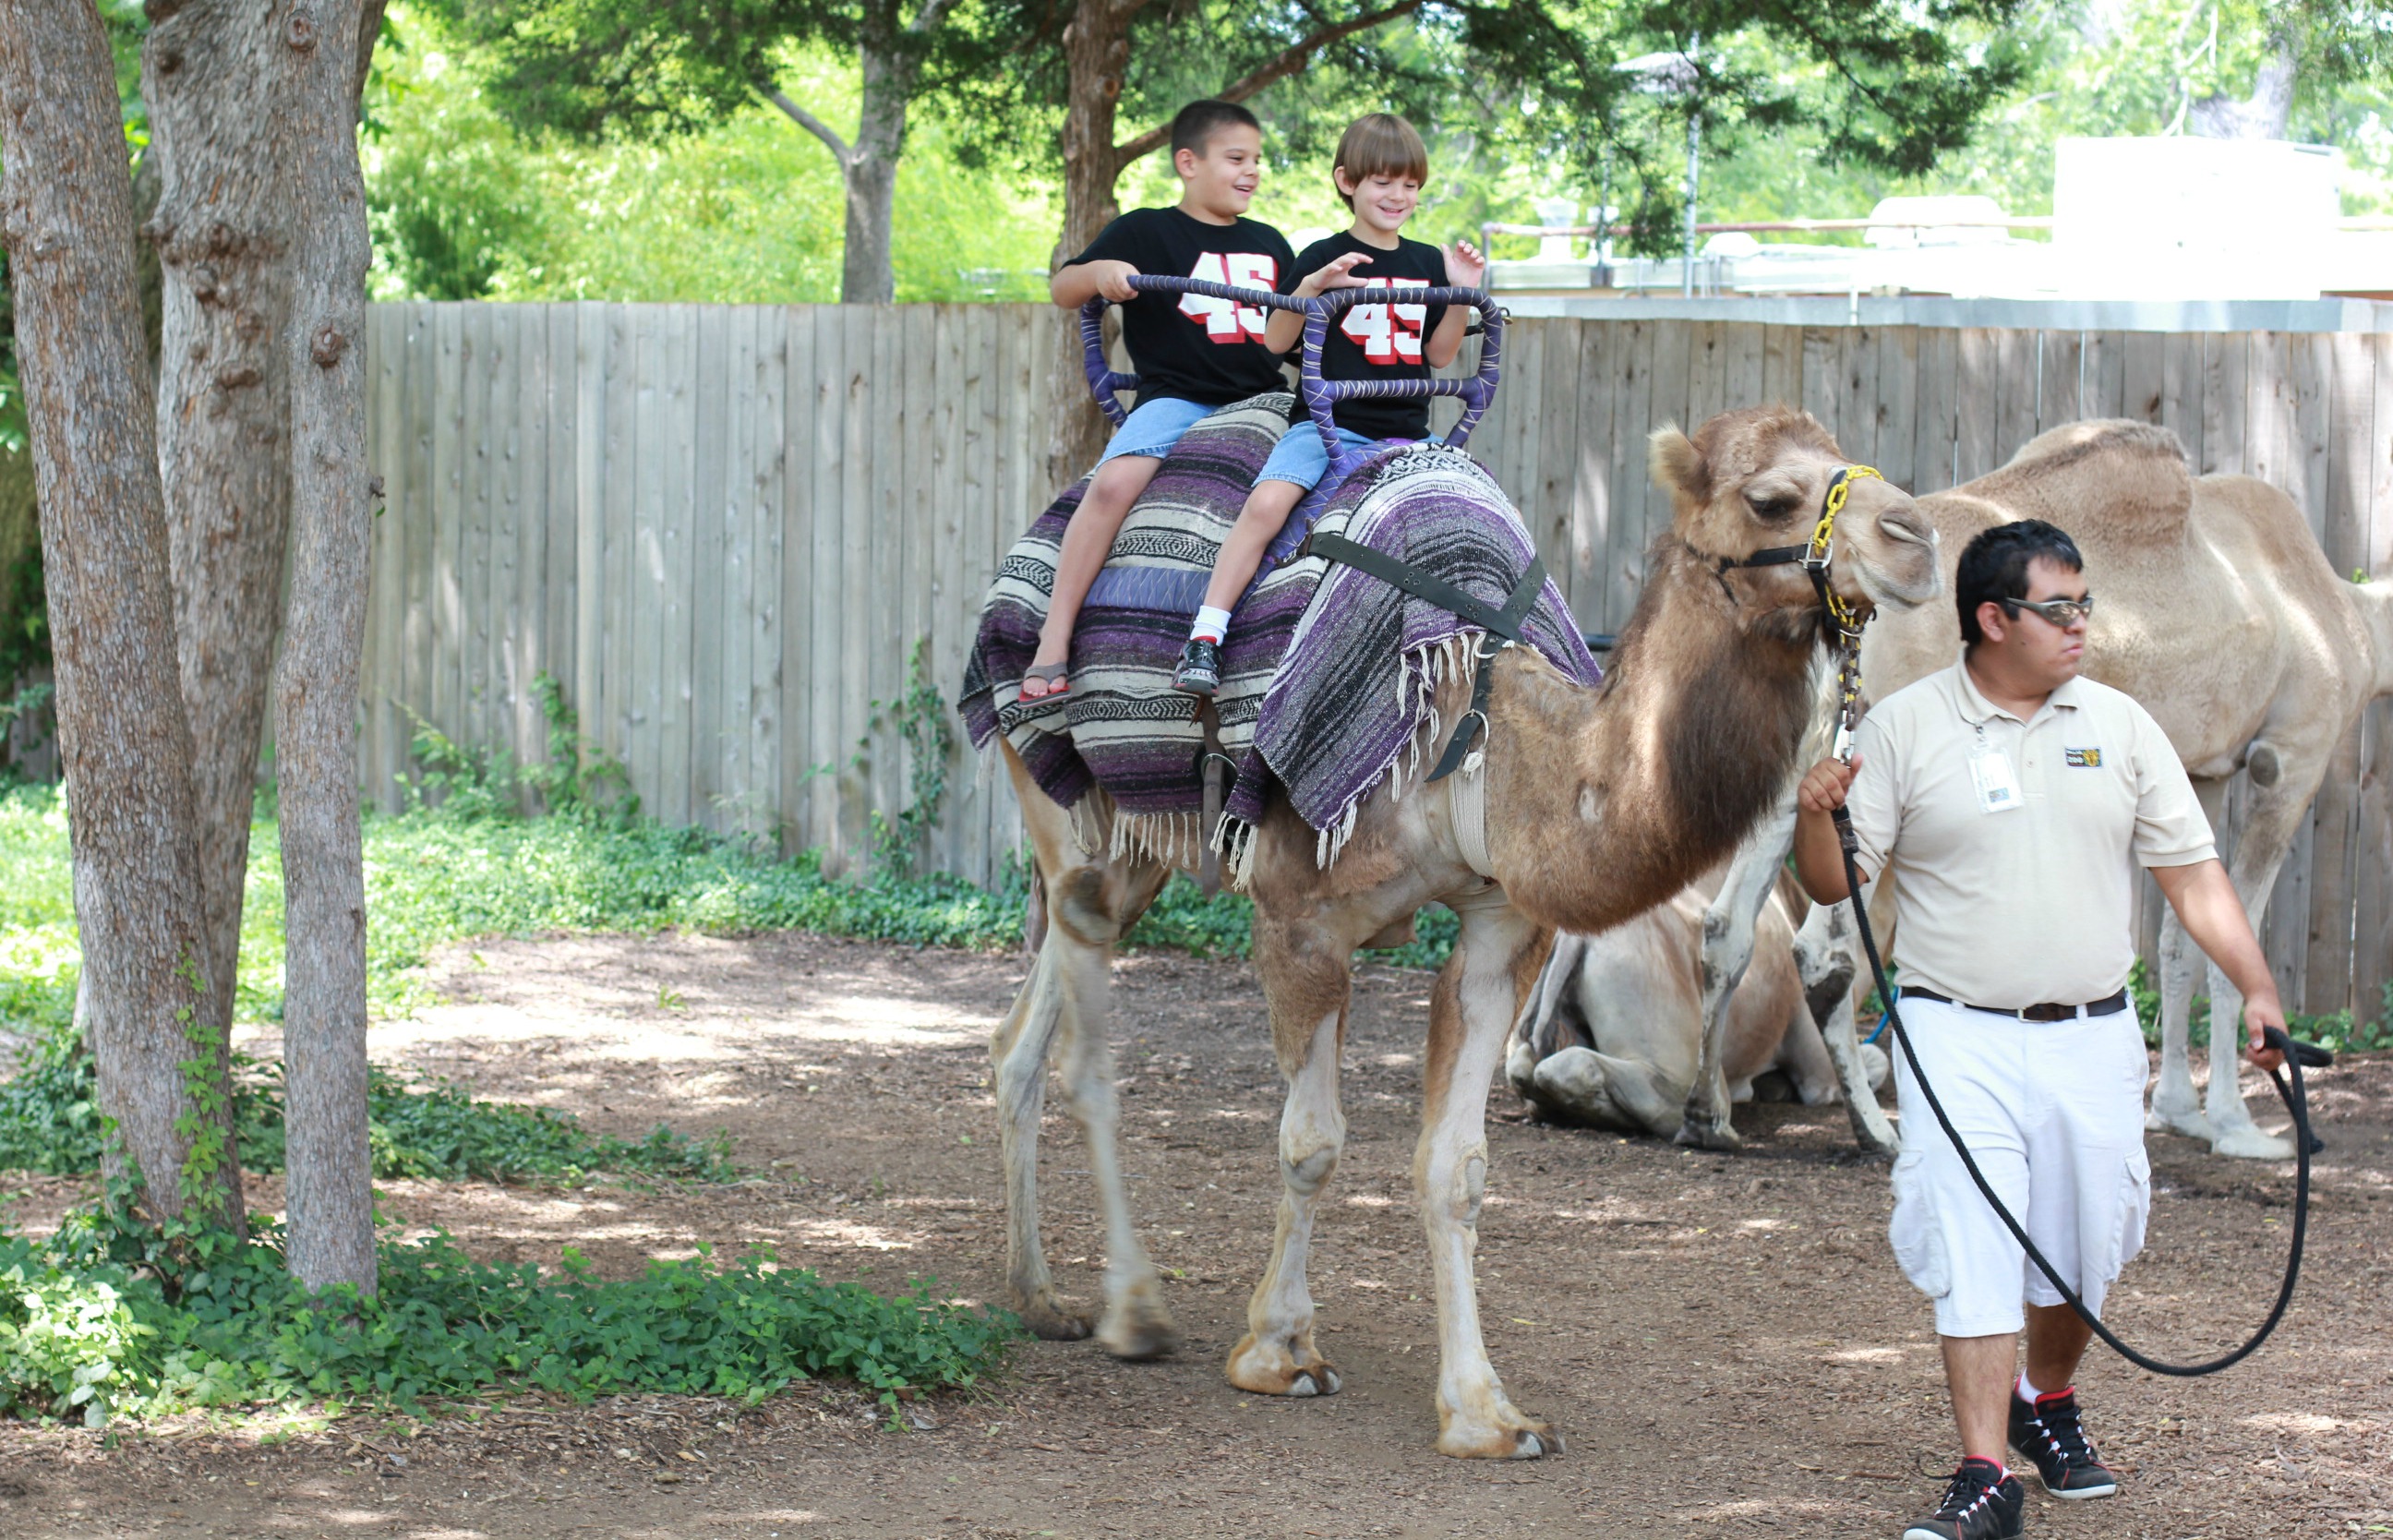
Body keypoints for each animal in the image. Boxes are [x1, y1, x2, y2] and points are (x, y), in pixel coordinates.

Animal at [1675, 415, 2393, 1161]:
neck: (2347, 615)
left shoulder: (2204, 769)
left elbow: (2182, 939)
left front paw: (2179, 1113)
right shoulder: (2293, 755)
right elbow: (2237, 943)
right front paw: (2239, 1127)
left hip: (1806, 749)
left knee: (1727, 926)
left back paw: (1708, 1117)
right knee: (1829, 951)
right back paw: (1879, 1132)